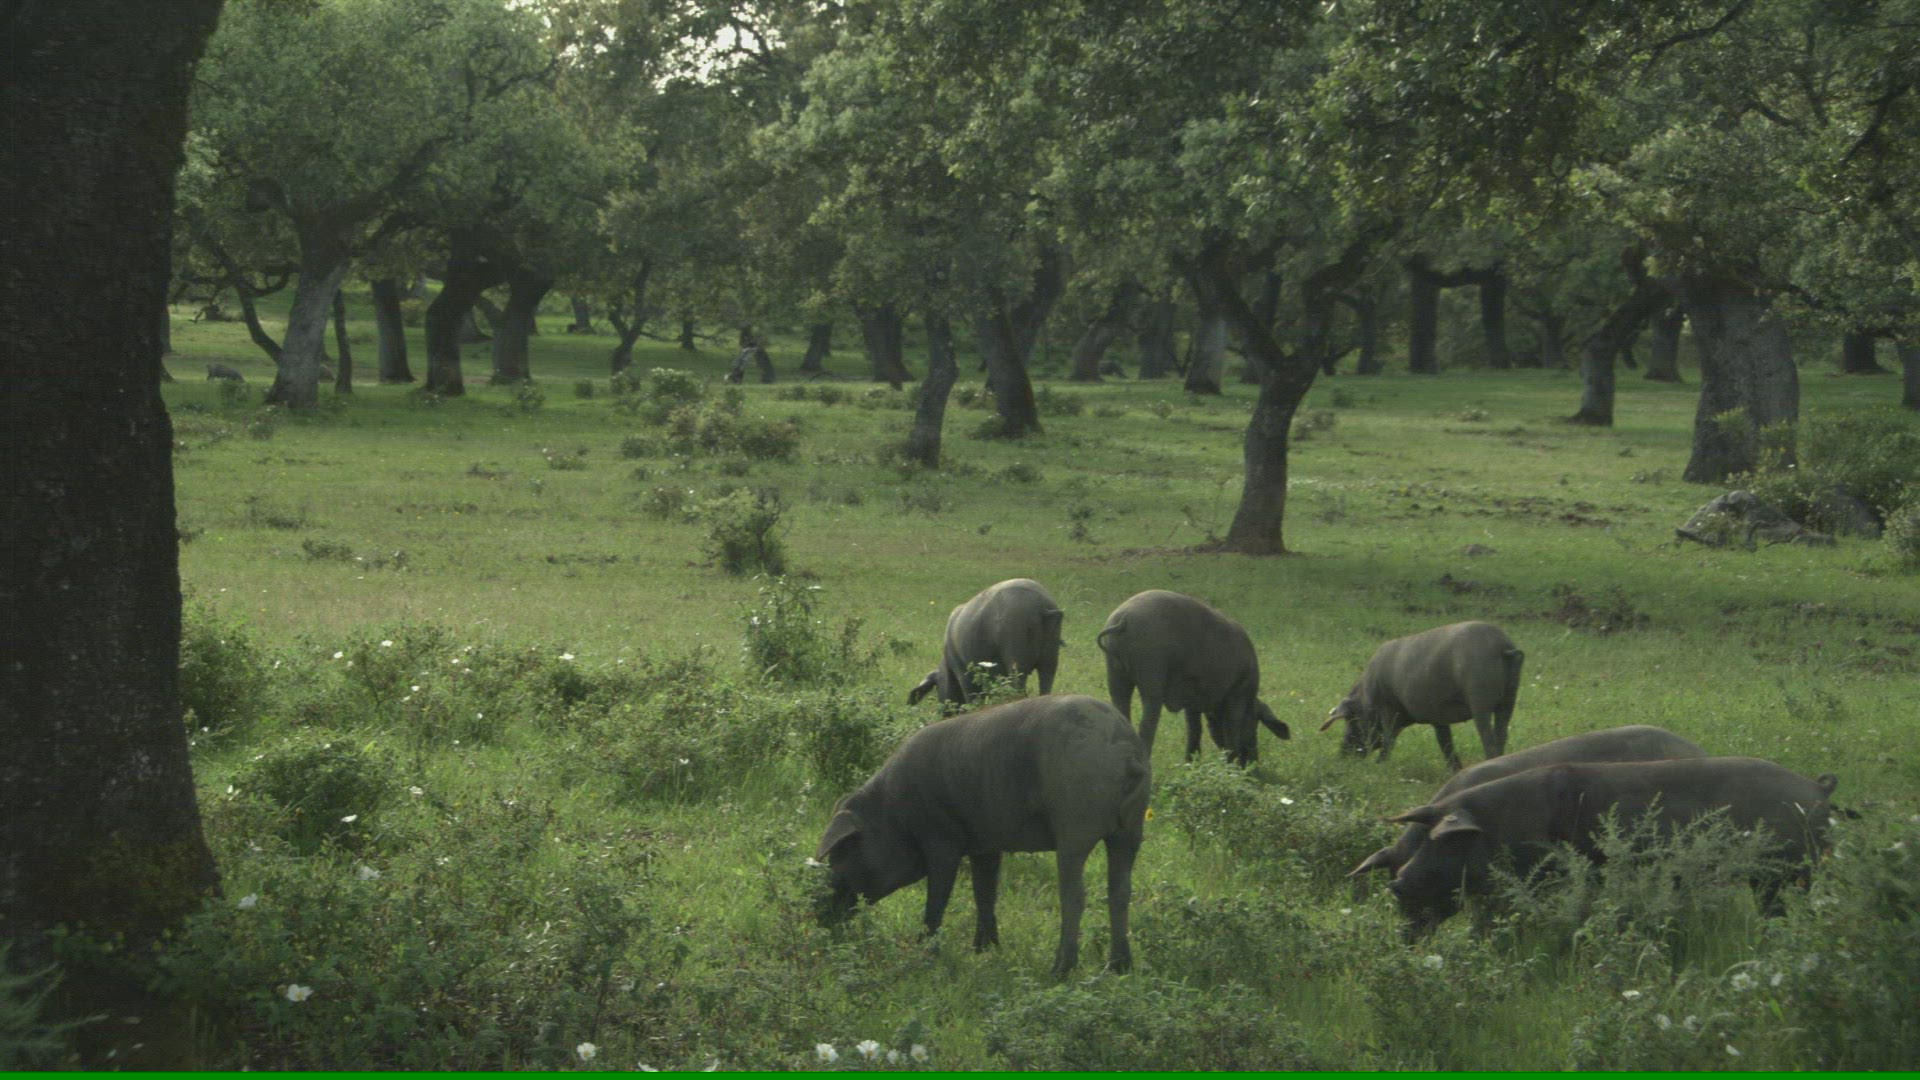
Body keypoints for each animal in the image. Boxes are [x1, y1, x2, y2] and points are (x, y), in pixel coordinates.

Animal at [814, 694, 1149, 975]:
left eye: (842, 851)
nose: (817, 914)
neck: (892, 815)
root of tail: (1126, 751)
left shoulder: (941, 841)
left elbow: (938, 898)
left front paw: (925, 954)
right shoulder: (985, 844)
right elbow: (985, 891)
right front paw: (984, 950)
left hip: (1074, 825)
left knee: (1075, 895)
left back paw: (1059, 970)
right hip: (1130, 832)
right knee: (1120, 890)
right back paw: (1119, 967)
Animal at [908, 578, 1064, 707]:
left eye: (937, 687)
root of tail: (1043, 607)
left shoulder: (963, 672)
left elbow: (972, 698)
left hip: (1016, 659)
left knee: (1018, 690)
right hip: (1050, 658)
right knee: (1046, 686)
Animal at [1096, 590, 1290, 766]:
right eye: (1255, 724)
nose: (1253, 762)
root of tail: (1123, 619)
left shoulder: (1192, 698)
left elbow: (1194, 728)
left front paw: (1190, 763)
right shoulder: (1237, 694)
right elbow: (1231, 727)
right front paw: (1231, 767)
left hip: (1115, 673)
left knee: (1121, 708)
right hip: (1151, 670)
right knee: (1147, 723)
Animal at [1322, 621, 1524, 771]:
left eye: (1351, 720)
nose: (1342, 755)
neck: (1366, 698)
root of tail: (1503, 646)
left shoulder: (1388, 709)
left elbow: (1389, 739)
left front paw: (1379, 766)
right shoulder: (1438, 717)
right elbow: (1445, 743)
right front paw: (1455, 770)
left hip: (1480, 700)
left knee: (1488, 739)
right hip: (1509, 700)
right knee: (1501, 735)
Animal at [1383, 756, 1838, 937]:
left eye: (1445, 842)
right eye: (1425, 837)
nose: (1398, 883)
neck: (1504, 825)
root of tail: (1817, 788)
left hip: (1788, 873)